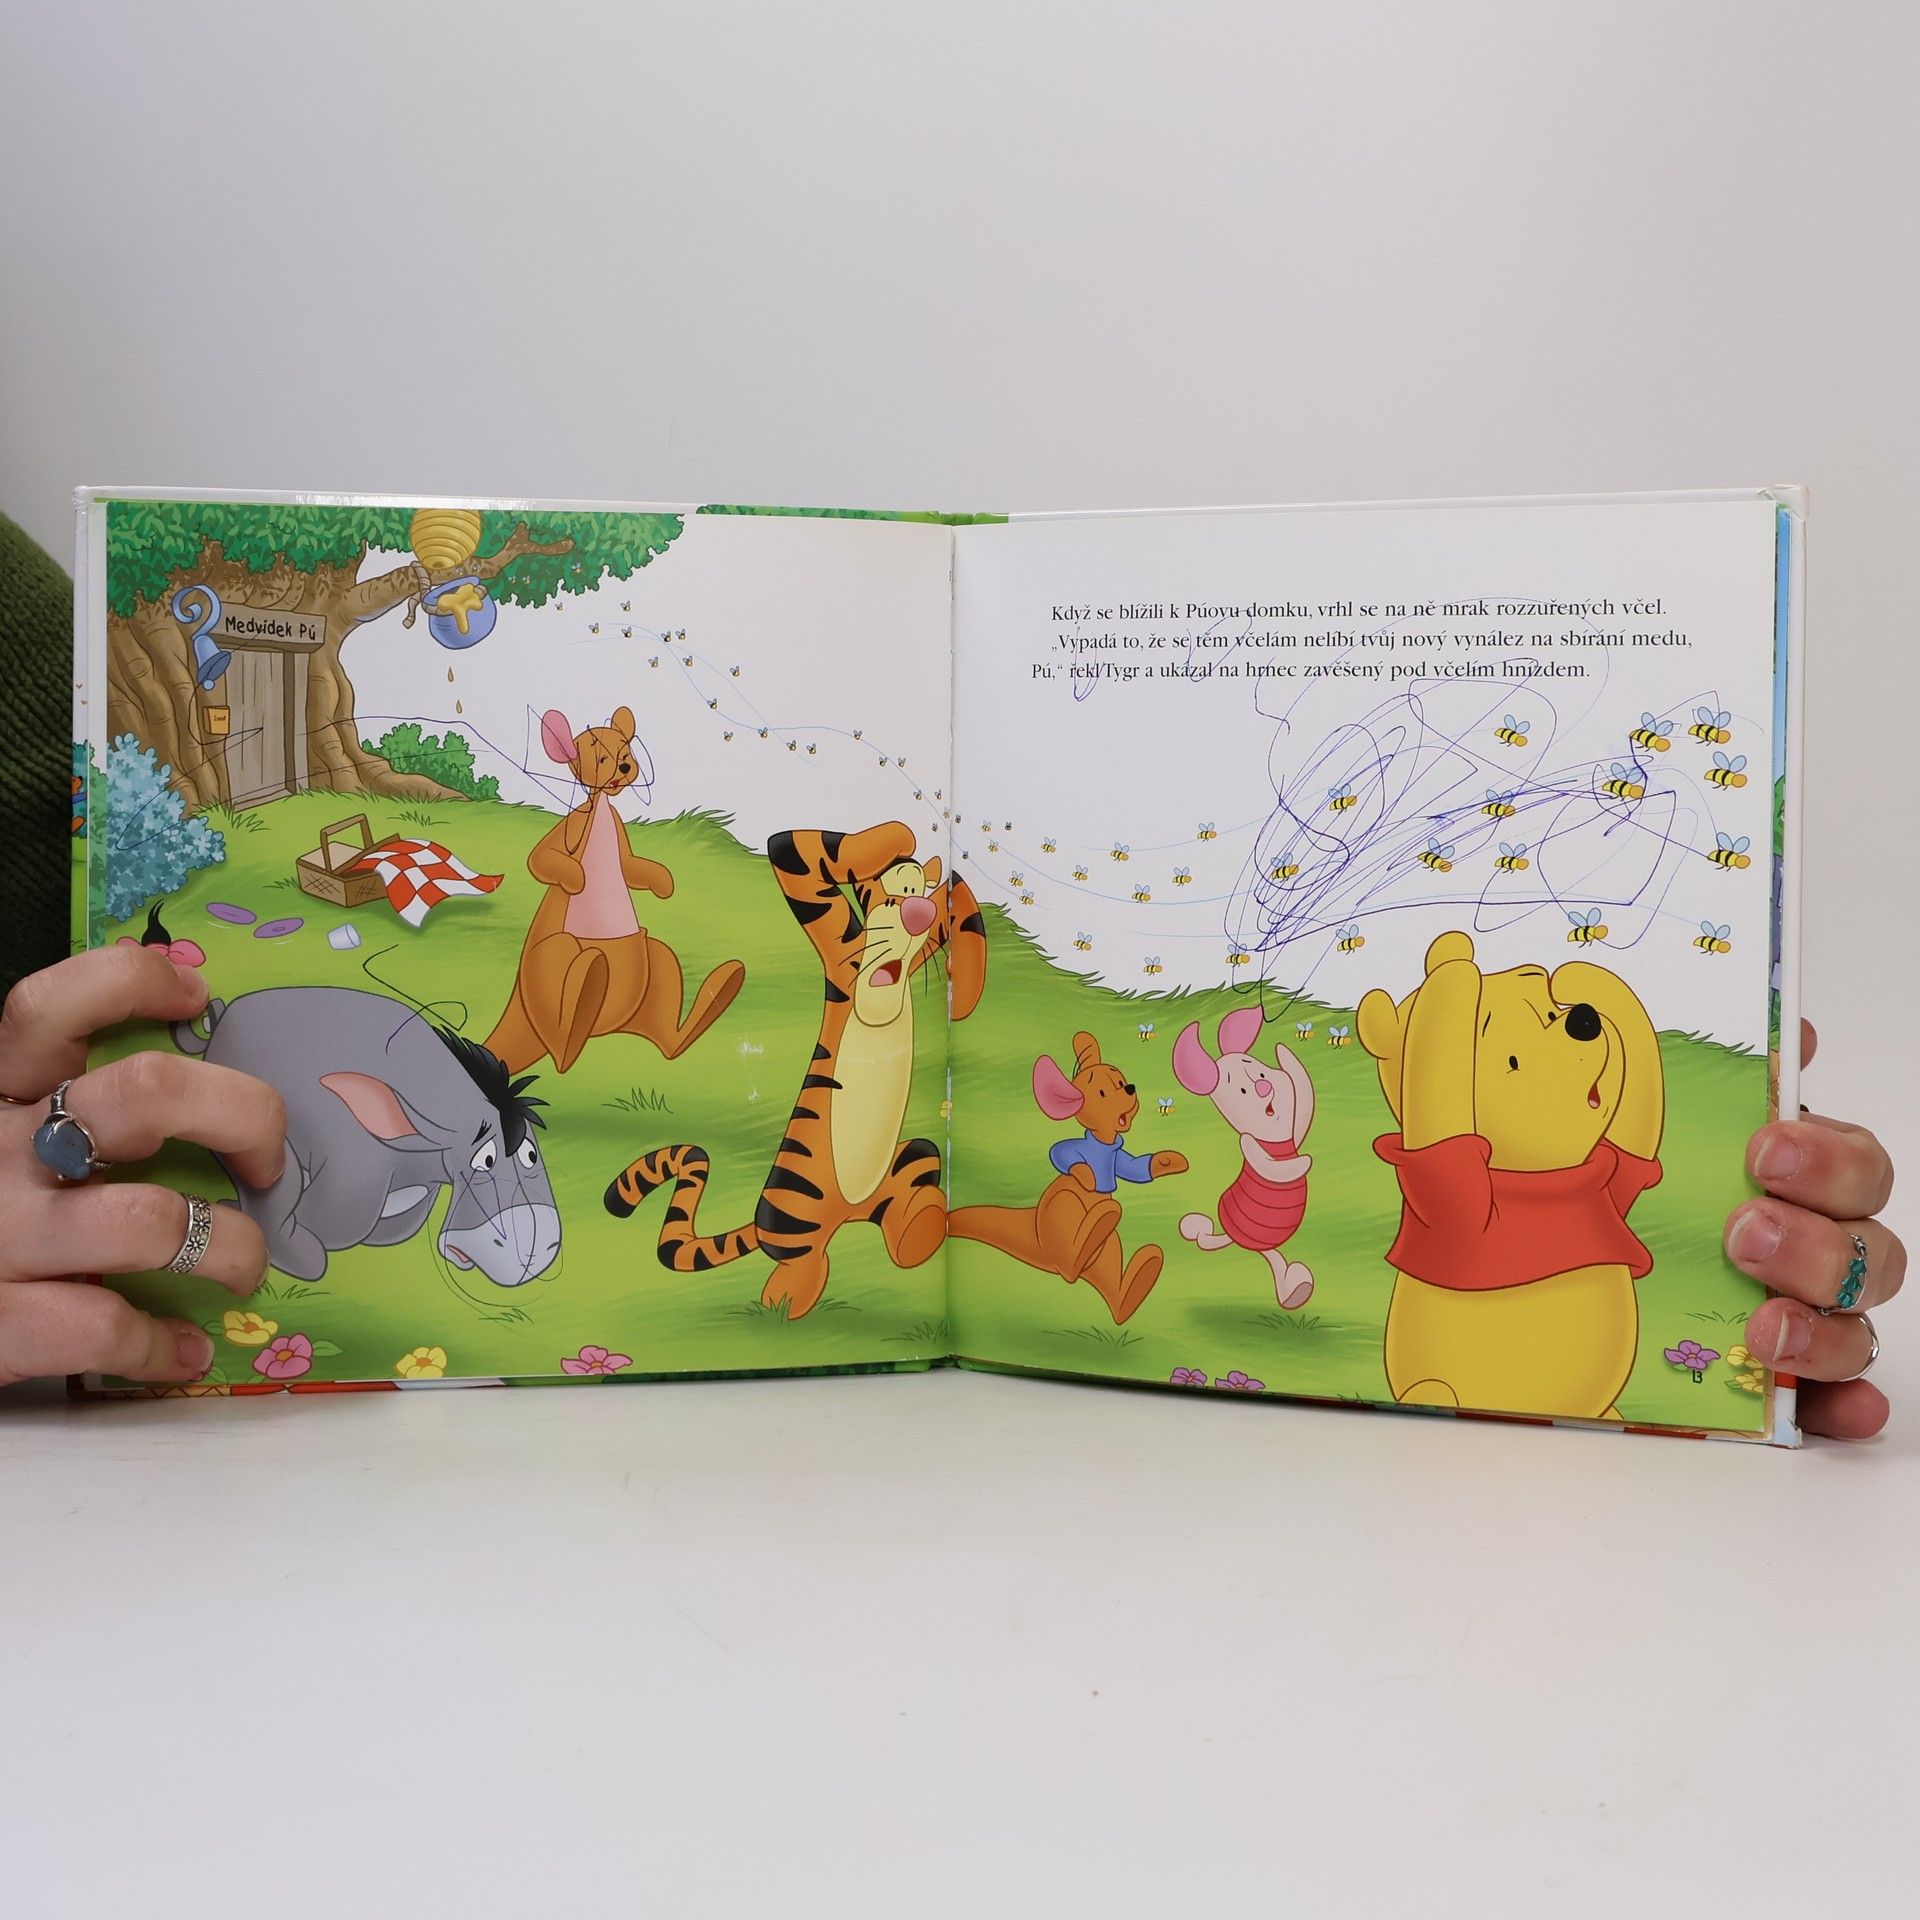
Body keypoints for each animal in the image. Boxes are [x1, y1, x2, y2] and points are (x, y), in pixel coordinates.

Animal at [174, 986, 560, 1287]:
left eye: (530, 1154)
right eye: (485, 1160)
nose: (541, 1247)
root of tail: (223, 1016)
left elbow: (399, 1223)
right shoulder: (354, 1176)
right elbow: (332, 1227)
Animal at [1172, 1005, 1316, 1309]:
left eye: (1261, 1074)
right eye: (1241, 1091)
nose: (1264, 1089)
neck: (1274, 1139)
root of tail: (1229, 1233)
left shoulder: (1293, 1128)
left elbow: (1302, 1099)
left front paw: (1283, 1052)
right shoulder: (1248, 1140)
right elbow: (1263, 1158)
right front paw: (1302, 1163)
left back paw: (1296, 1290)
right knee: (1271, 1256)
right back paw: (1294, 1292)